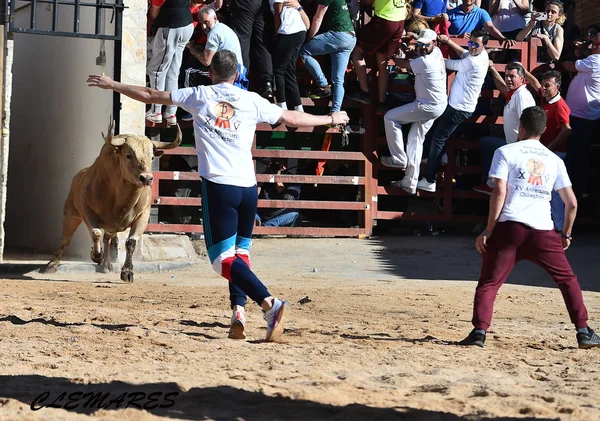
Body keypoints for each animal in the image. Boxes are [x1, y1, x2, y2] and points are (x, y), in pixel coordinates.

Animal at [41, 120, 182, 280]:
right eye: (128, 155)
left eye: (152, 157)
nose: (146, 178)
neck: (120, 200)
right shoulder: (86, 211)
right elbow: (95, 233)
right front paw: (96, 255)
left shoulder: (143, 216)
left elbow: (130, 242)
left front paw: (127, 271)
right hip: (71, 215)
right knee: (66, 239)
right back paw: (52, 264)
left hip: (110, 227)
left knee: (107, 240)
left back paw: (106, 265)